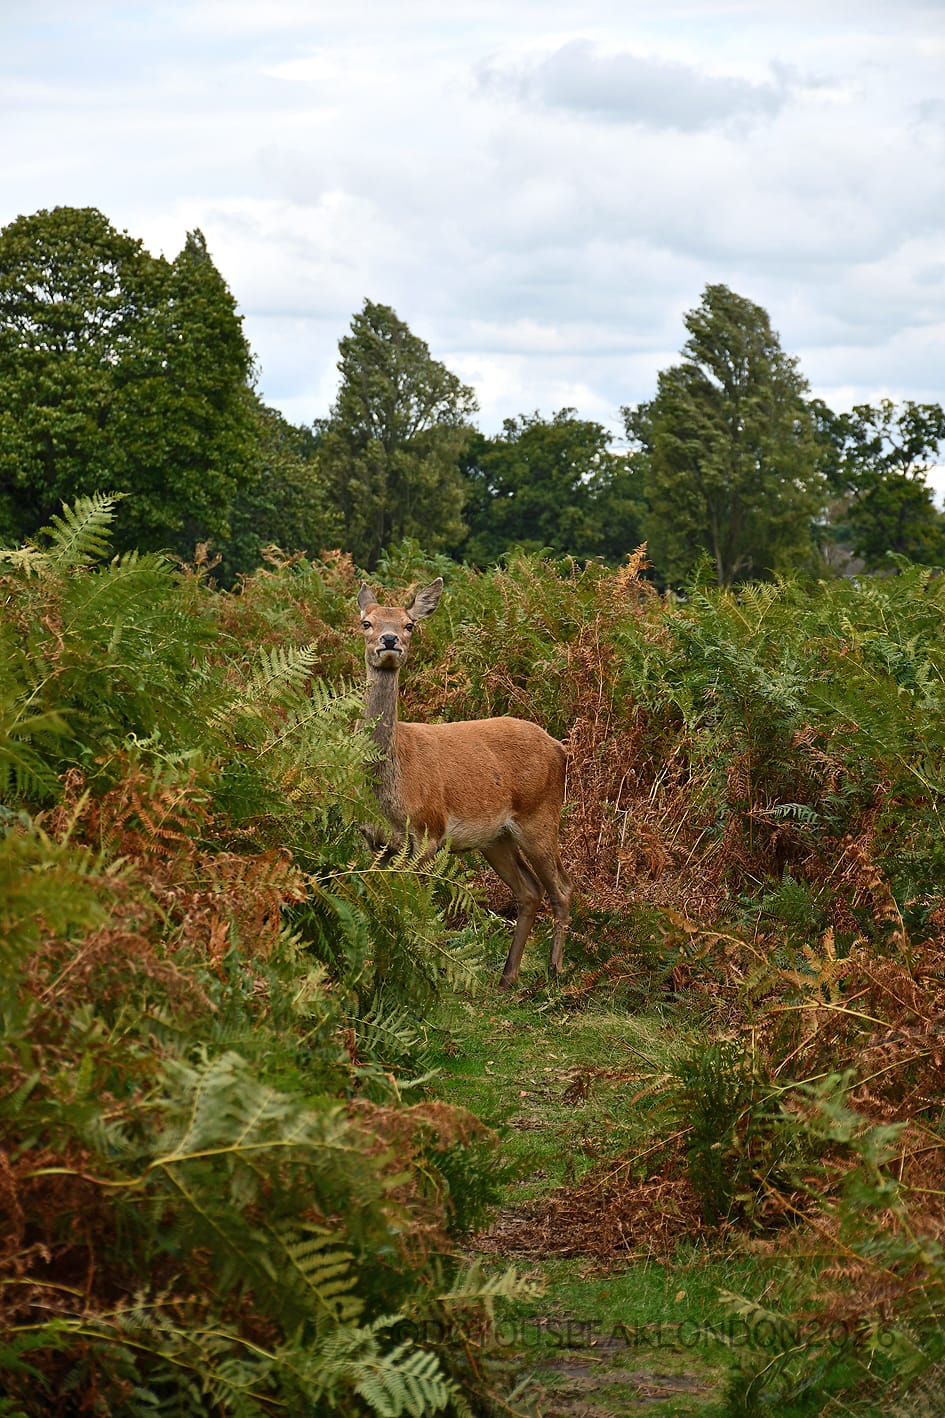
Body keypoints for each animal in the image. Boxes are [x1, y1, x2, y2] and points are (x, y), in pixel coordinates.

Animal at [356, 577, 571, 988]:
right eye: (366, 622)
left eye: (410, 625)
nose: (389, 640)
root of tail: (561, 748)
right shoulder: (374, 839)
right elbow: (377, 898)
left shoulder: (429, 832)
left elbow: (419, 906)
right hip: (495, 838)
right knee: (529, 890)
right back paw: (507, 977)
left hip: (541, 817)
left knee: (563, 888)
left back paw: (554, 972)